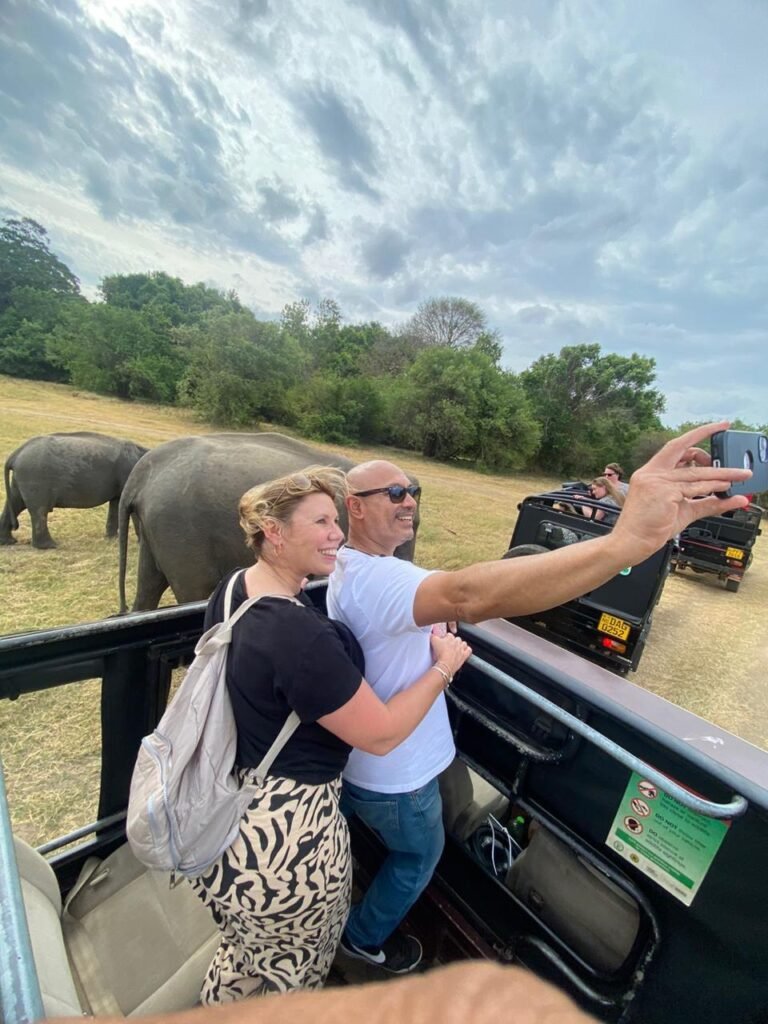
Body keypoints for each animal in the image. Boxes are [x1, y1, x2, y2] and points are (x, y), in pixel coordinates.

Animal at [0, 430, 148, 548]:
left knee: (16, 502)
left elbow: (116, 502)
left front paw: (111, 540)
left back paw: (8, 541)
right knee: (39, 510)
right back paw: (50, 546)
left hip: (23, 476)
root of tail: (16, 454)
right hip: (35, 476)